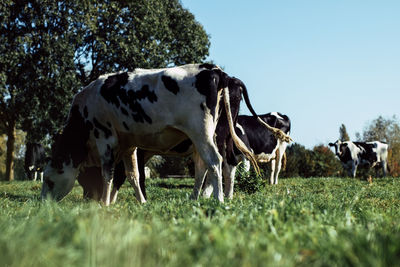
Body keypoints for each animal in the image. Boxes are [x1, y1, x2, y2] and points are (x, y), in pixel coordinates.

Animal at [41, 63, 290, 206]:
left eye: (49, 181)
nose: (44, 205)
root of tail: (215, 71)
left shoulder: (106, 138)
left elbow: (108, 173)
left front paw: (105, 203)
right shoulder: (129, 145)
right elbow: (133, 174)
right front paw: (141, 202)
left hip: (204, 132)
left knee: (216, 162)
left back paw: (219, 199)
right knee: (205, 166)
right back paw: (197, 198)